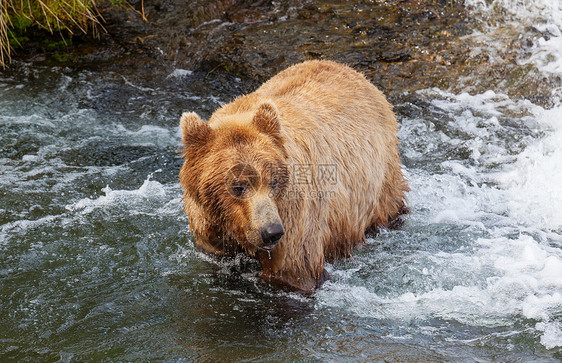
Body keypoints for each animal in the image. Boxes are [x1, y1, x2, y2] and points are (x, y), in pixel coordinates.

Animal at [178, 60, 406, 292]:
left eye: (274, 181)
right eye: (238, 186)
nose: (271, 231)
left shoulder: (294, 218)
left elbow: (295, 271)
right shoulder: (210, 226)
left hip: (381, 177)